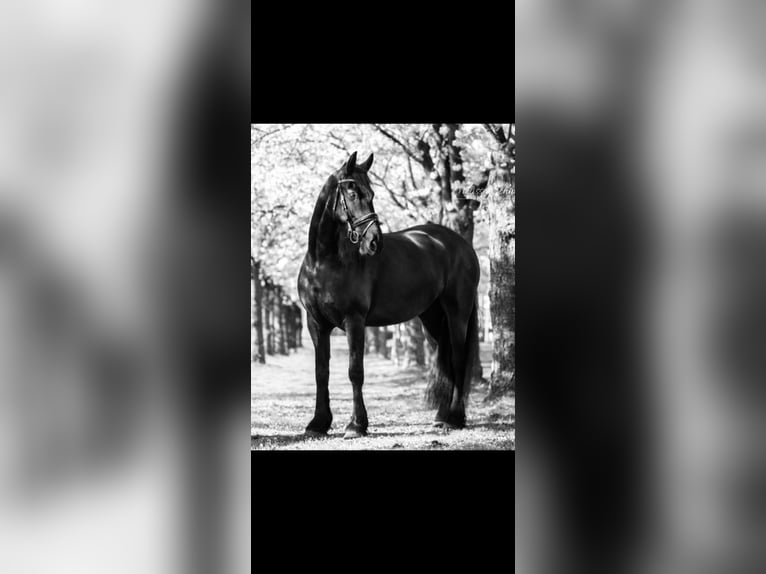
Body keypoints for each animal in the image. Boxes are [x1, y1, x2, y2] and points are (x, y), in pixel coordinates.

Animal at [297, 151, 480, 439]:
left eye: (371, 193)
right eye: (353, 194)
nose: (374, 241)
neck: (325, 262)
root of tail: (461, 245)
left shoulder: (354, 321)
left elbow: (355, 371)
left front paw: (356, 425)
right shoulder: (315, 323)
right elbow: (321, 372)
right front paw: (318, 423)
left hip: (457, 314)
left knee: (459, 360)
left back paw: (454, 419)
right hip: (432, 318)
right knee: (447, 362)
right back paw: (441, 418)